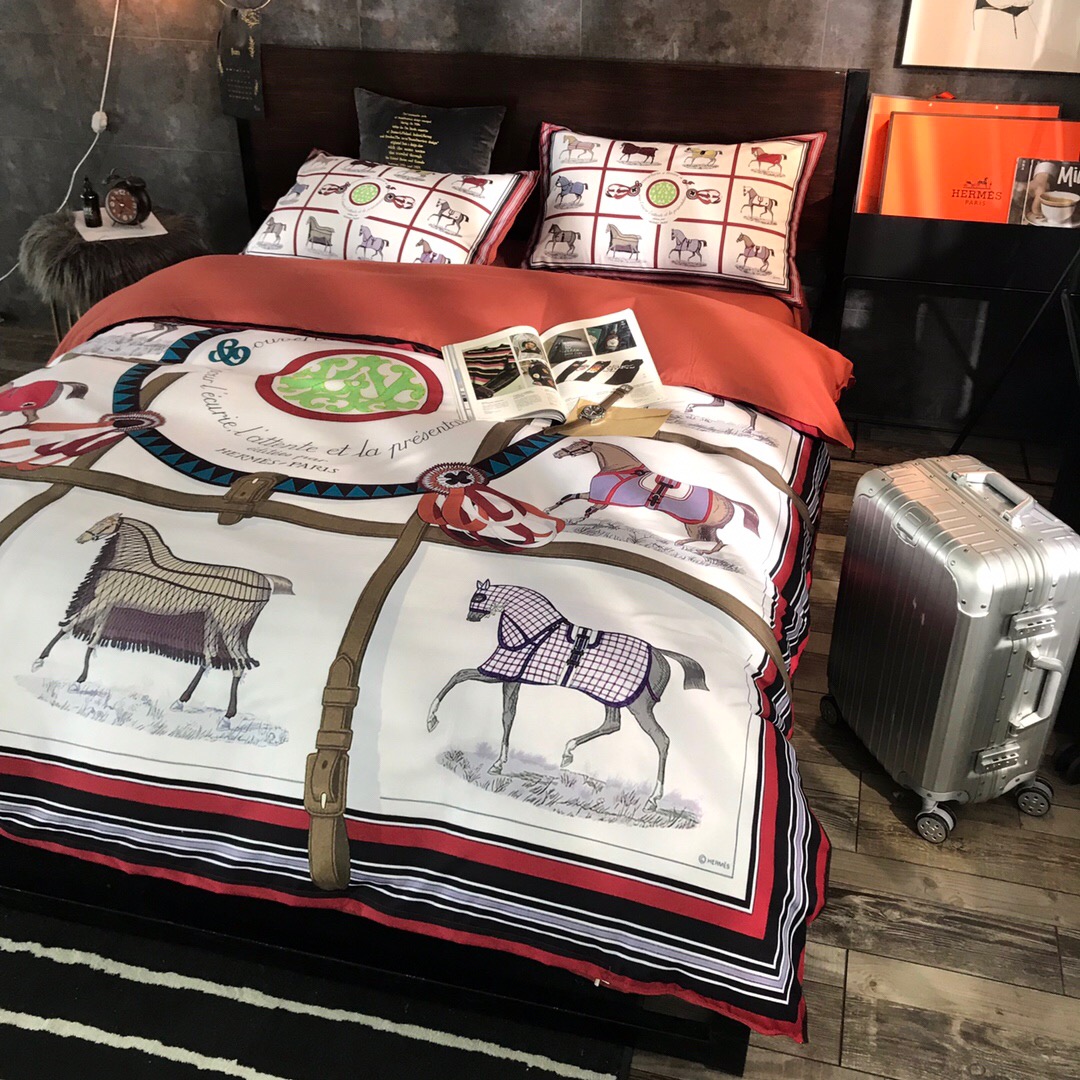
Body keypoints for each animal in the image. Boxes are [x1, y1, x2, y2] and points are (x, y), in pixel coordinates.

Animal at [34, 515, 293, 719]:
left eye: (106, 523)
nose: (81, 538)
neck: (134, 562)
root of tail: (266, 581)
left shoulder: (102, 601)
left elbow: (69, 625)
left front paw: (39, 660)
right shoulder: (108, 604)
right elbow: (93, 638)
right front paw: (80, 678)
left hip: (230, 626)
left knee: (238, 664)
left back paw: (228, 715)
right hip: (213, 620)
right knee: (209, 657)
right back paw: (182, 700)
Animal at [426, 580, 709, 810]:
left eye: (480, 596)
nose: (470, 616)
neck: (532, 634)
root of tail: (658, 652)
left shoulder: (504, 675)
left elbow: (470, 684)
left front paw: (433, 720)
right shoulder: (511, 678)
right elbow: (500, 707)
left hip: (639, 706)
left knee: (661, 740)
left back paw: (653, 798)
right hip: (611, 698)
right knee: (612, 724)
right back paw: (568, 752)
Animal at [547, 439, 760, 554]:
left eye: (577, 446)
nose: (557, 454)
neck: (622, 468)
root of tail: (729, 501)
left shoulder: (599, 498)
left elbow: (578, 503)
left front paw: (567, 518)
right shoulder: (600, 500)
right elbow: (572, 499)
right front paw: (554, 511)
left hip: (694, 525)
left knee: (707, 540)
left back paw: (683, 544)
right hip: (707, 527)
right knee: (718, 542)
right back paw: (700, 550)